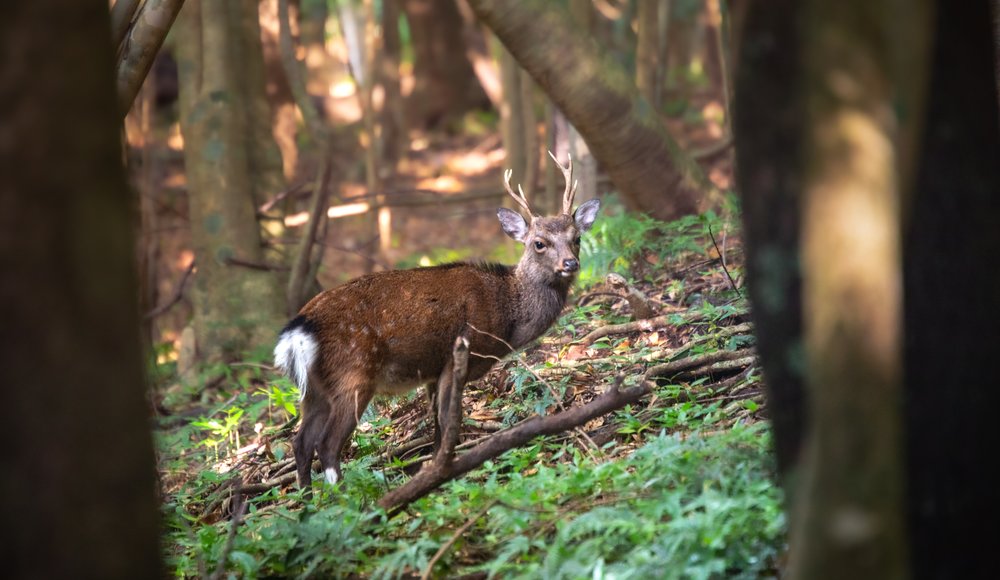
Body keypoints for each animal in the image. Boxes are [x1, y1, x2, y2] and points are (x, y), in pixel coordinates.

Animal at [274, 153, 601, 489]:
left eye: (576, 238)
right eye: (539, 243)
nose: (570, 263)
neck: (506, 318)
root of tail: (298, 332)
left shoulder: (432, 371)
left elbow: (436, 427)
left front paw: (433, 470)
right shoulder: (457, 357)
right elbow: (448, 420)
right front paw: (448, 472)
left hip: (313, 390)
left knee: (300, 443)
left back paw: (308, 498)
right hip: (353, 375)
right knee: (326, 444)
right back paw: (343, 496)